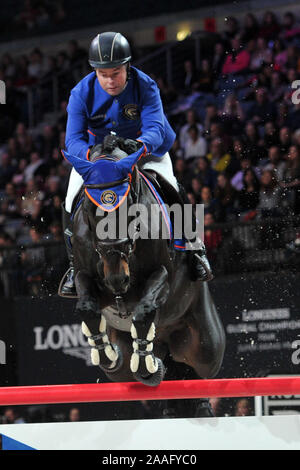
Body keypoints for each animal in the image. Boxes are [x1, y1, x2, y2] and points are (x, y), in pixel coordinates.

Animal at [61, 136, 225, 386]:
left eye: (128, 205)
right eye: (88, 207)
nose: (117, 279)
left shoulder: (162, 276)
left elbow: (145, 310)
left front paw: (146, 365)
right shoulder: (84, 276)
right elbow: (87, 308)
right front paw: (108, 354)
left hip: (205, 350)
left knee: (202, 360)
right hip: (120, 369)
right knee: (121, 368)